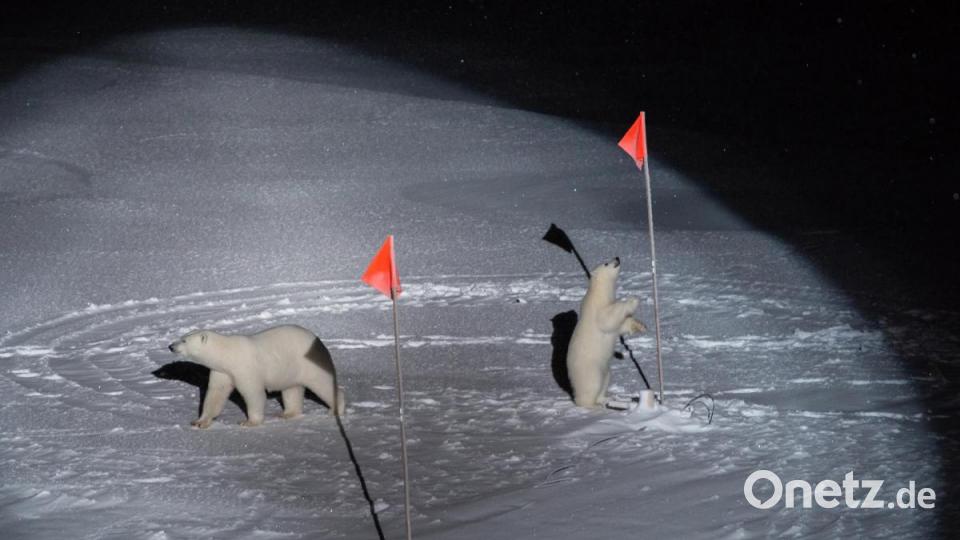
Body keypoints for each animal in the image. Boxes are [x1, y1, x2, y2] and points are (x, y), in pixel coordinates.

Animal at [167, 324, 345, 427]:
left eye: (184, 340)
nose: (170, 346)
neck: (227, 354)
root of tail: (317, 340)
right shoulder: (222, 371)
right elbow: (215, 394)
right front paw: (199, 421)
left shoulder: (245, 368)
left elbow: (254, 393)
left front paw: (248, 422)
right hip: (290, 367)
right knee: (291, 388)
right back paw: (287, 413)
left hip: (308, 363)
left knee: (321, 383)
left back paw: (335, 409)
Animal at [566, 257, 647, 408]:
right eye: (606, 263)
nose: (617, 257)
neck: (599, 292)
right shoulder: (597, 309)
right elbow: (608, 318)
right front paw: (633, 300)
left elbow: (620, 326)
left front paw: (641, 326)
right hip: (590, 369)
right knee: (592, 385)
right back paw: (592, 404)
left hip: (605, 370)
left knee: (605, 380)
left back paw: (605, 399)